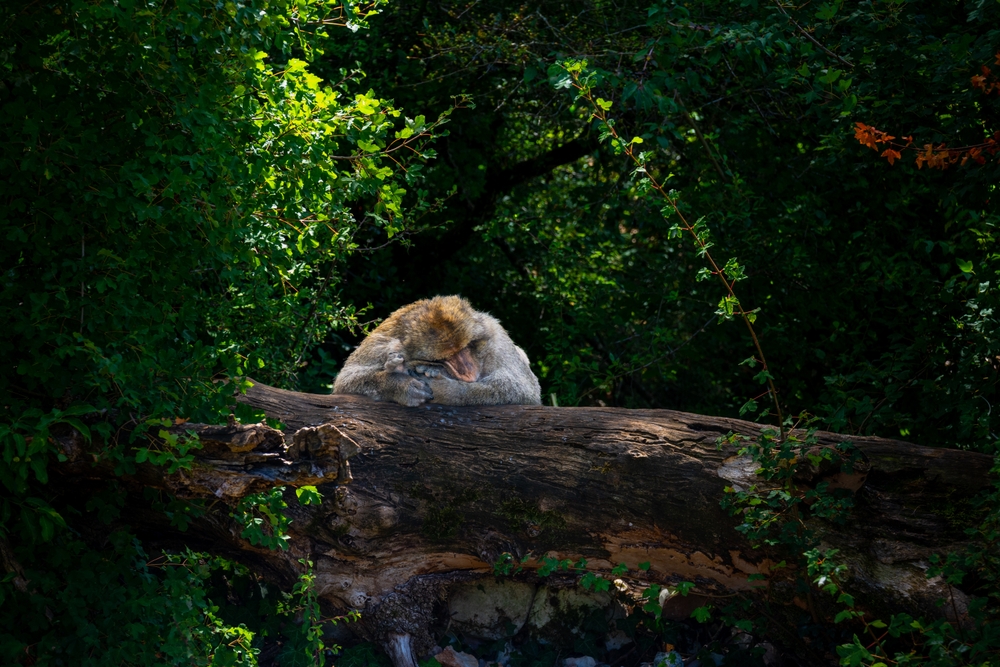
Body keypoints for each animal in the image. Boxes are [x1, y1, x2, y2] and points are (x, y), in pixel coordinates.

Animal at [332, 295, 541, 407]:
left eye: (465, 348)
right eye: (446, 357)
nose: (467, 370)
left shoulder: (496, 337)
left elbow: (524, 389)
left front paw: (447, 391)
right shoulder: (381, 343)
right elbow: (347, 380)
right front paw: (401, 385)